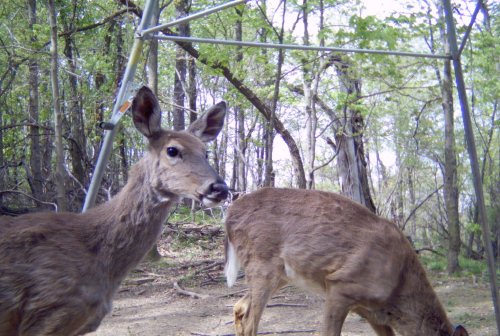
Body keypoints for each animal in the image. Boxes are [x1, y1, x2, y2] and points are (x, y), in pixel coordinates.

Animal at [226, 188, 468, 336]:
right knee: (249, 321)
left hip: (280, 274)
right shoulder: (340, 286)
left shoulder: (371, 312)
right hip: (262, 264)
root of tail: (228, 215)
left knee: (239, 306)